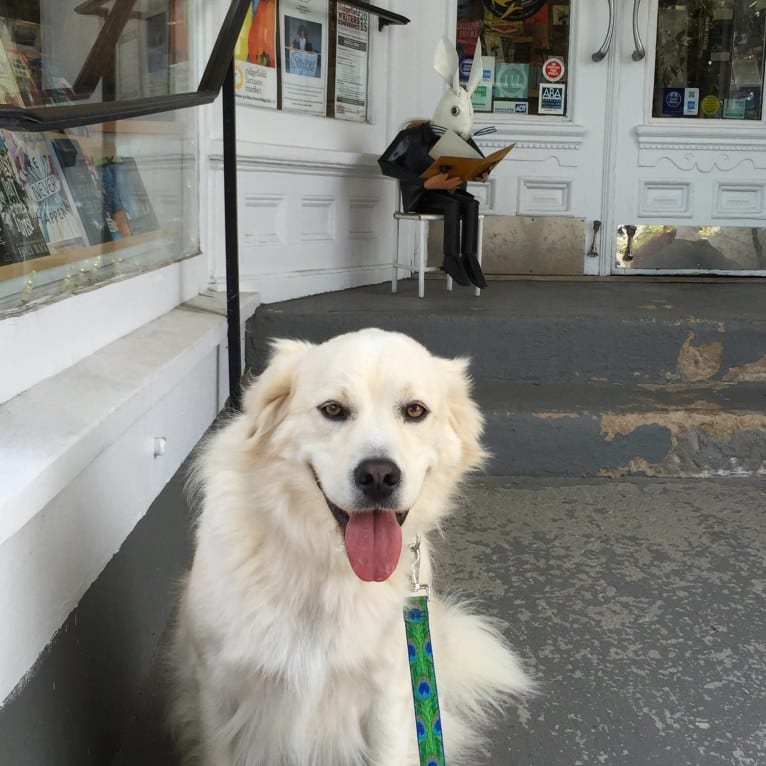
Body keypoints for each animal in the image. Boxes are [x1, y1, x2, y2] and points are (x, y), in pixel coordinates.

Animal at [170, 330, 532, 766]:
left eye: (414, 411)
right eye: (333, 409)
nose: (378, 476)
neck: (326, 563)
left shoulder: (387, 699)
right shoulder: (219, 690)